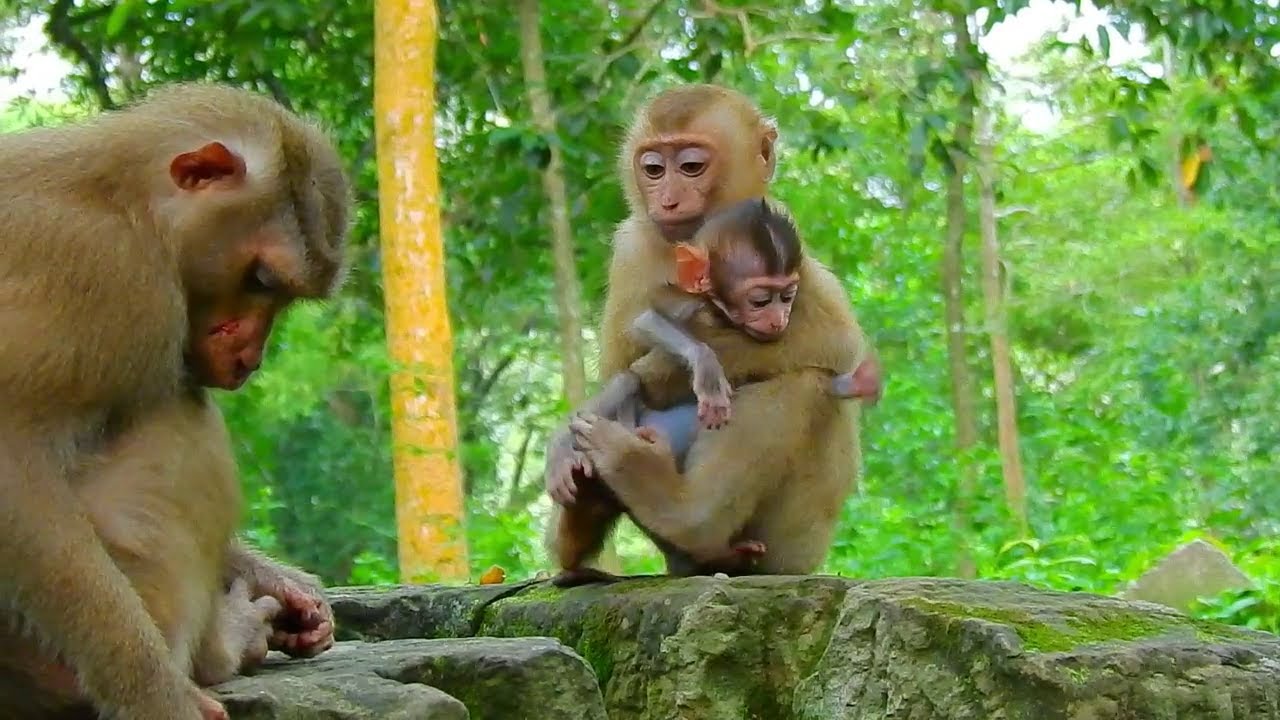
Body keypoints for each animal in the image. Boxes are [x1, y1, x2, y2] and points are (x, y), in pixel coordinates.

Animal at [0, 82, 349, 719]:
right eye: (262, 280)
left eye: (281, 294)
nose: (250, 357)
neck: (125, 203)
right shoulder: (121, 282)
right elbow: (11, 464)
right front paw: (154, 692)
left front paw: (286, 586)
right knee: (183, 409)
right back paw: (221, 648)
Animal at [544, 84, 877, 585]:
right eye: (654, 169)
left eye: (691, 167)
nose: (667, 199)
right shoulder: (631, 244)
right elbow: (620, 366)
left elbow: (834, 342)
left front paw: (665, 371)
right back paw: (585, 519)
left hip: (792, 546)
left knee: (806, 381)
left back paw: (681, 511)